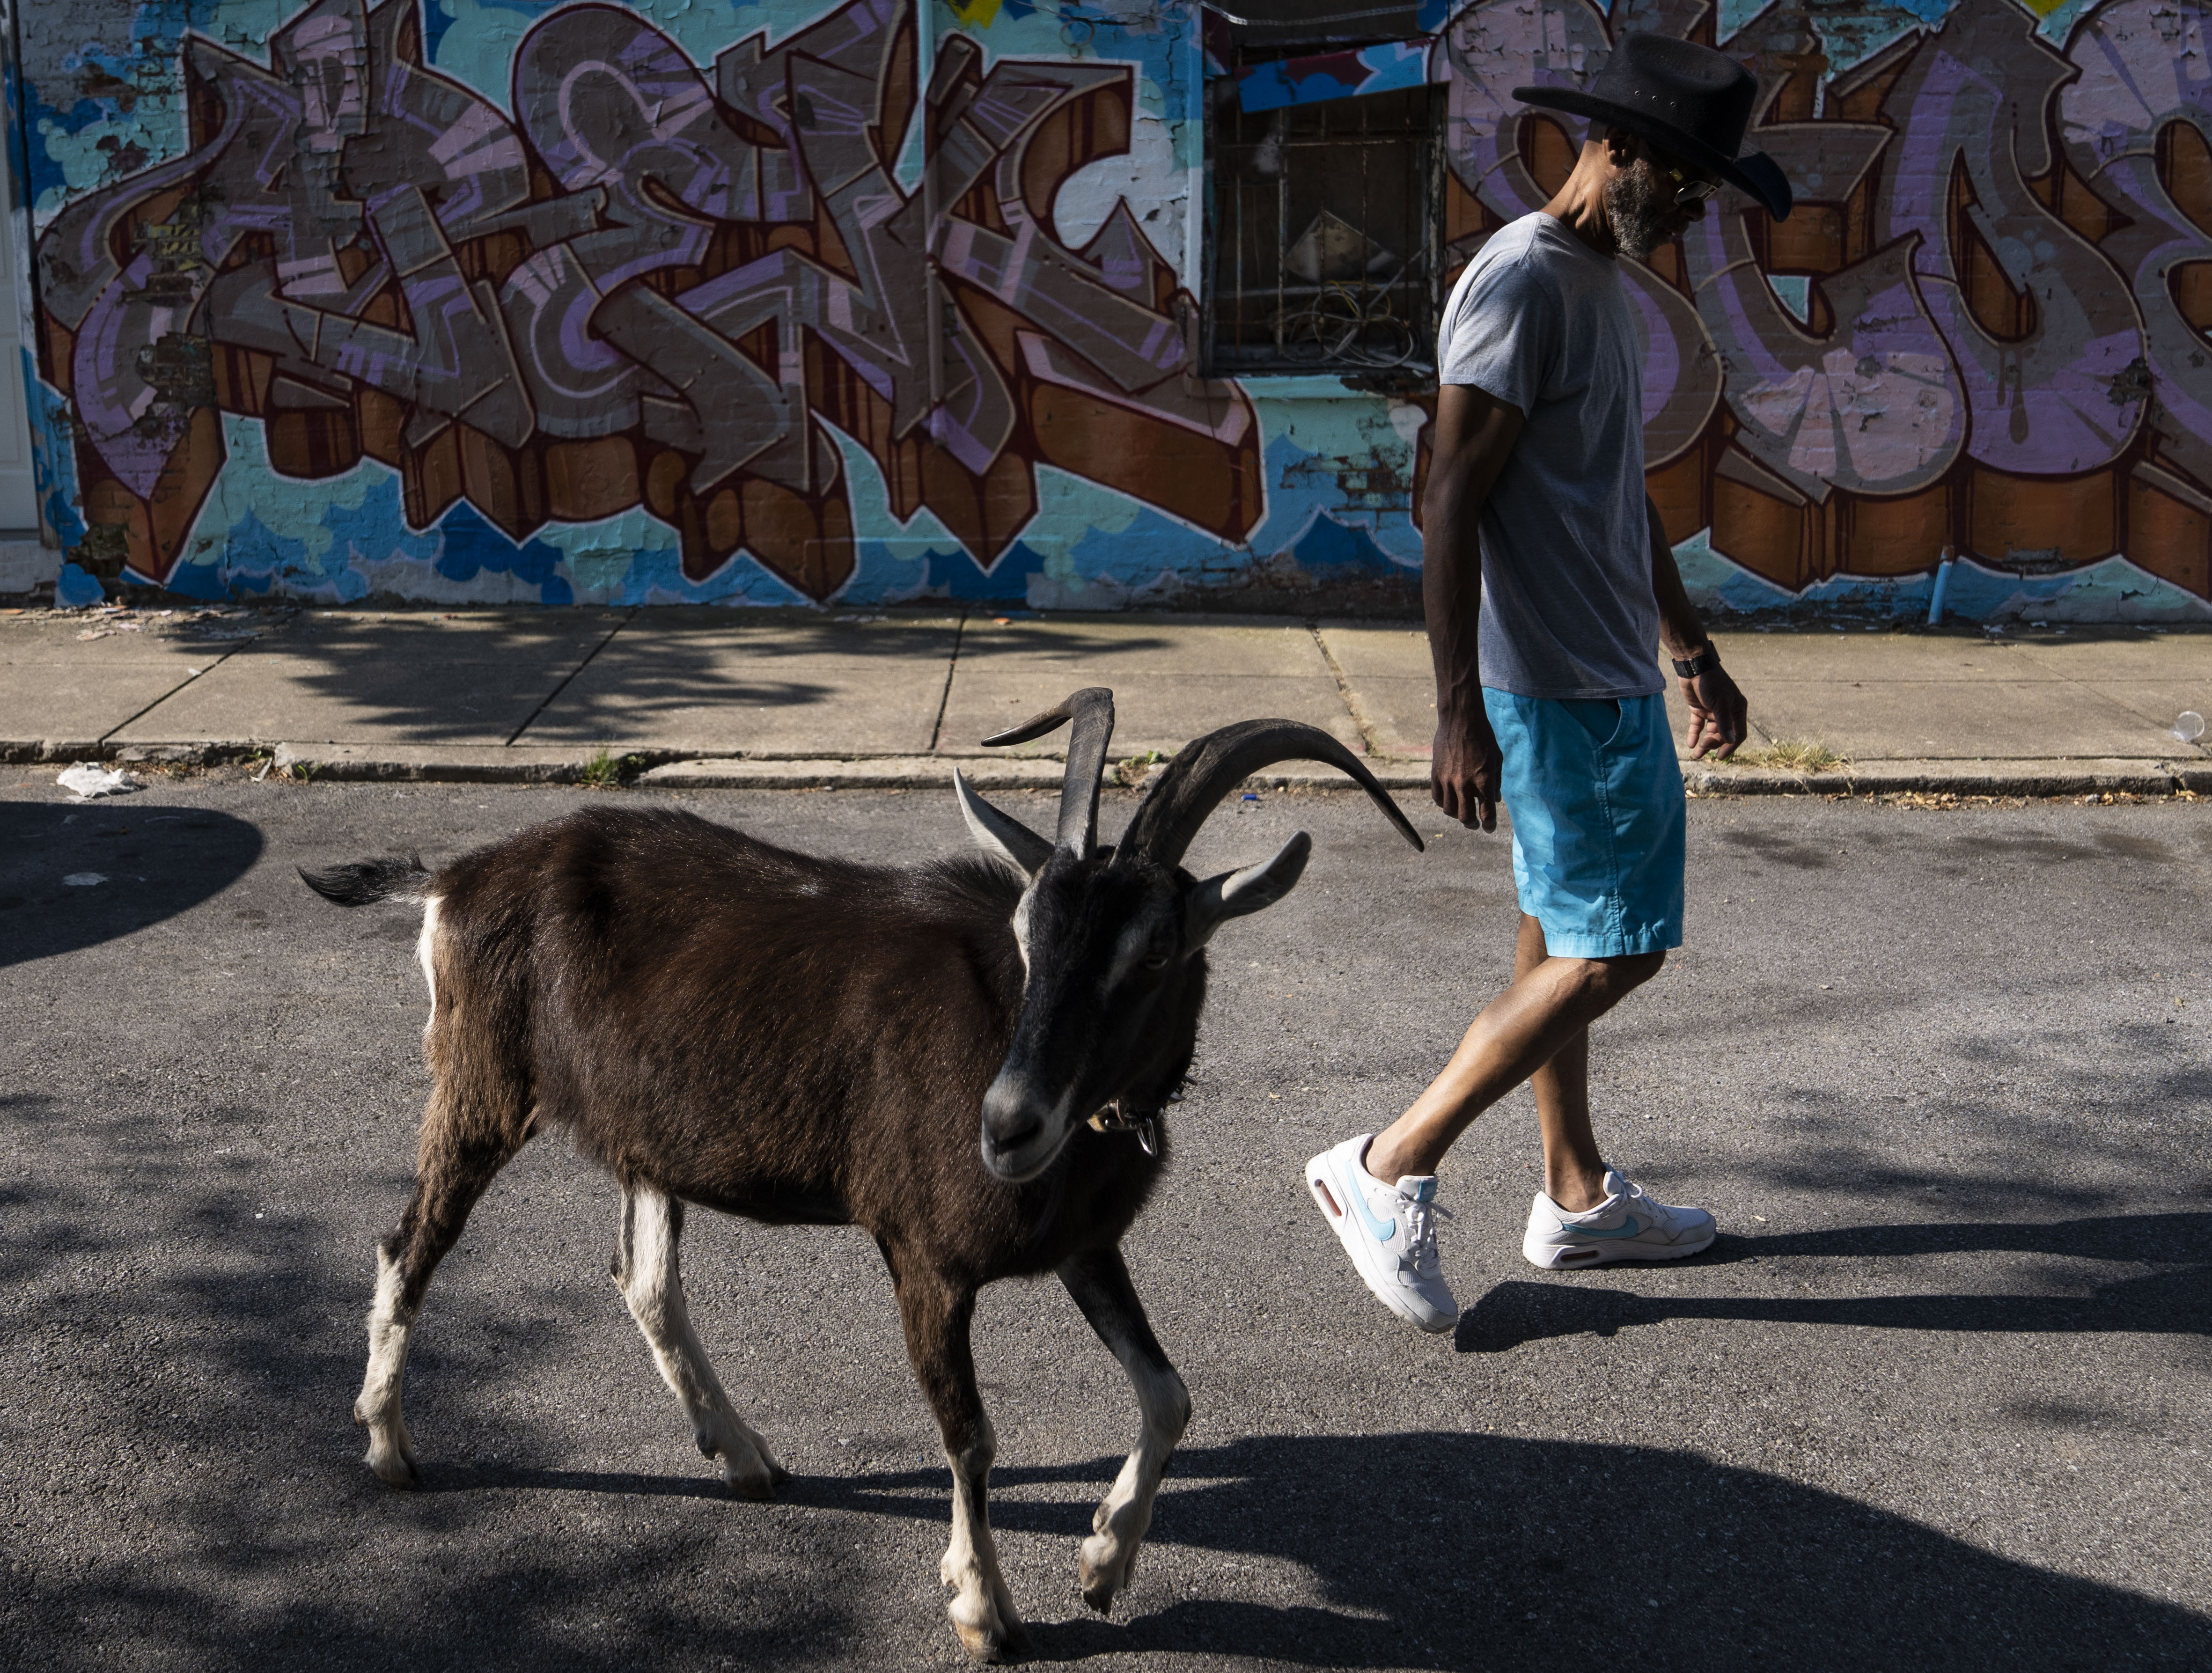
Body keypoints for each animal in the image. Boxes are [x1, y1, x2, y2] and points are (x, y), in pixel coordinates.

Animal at [300, 688, 1420, 1661]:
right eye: (1026, 932)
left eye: (1152, 953)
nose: (1007, 1125)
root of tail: (452, 879)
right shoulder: (922, 1253)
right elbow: (971, 1435)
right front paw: (984, 1610)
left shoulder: (1083, 1241)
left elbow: (1171, 1392)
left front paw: (1103, 1562)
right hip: (481, 1085)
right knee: (410, 1244)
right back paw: (390, 1446)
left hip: (641, 1132)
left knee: (644, 1278)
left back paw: (745, 1456)